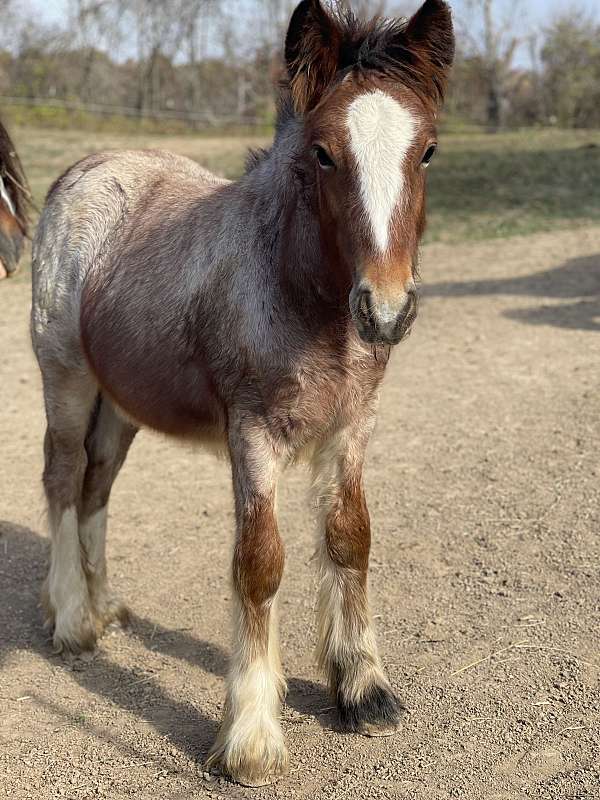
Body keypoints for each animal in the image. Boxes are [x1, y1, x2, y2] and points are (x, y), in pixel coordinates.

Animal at [31, 0, 454, 788]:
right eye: (322, 154)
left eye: (428, 151)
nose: (385, 310)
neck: (303, 298)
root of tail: (82, 170)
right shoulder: (252, 433)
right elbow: (259, 564)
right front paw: (252, 737)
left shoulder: (353, 425)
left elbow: (351, 538)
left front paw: (364, 690)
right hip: (66, 379)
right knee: (64, 478)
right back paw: (72, 620)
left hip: (122, 405)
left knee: (98, 485)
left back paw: (106, 608)